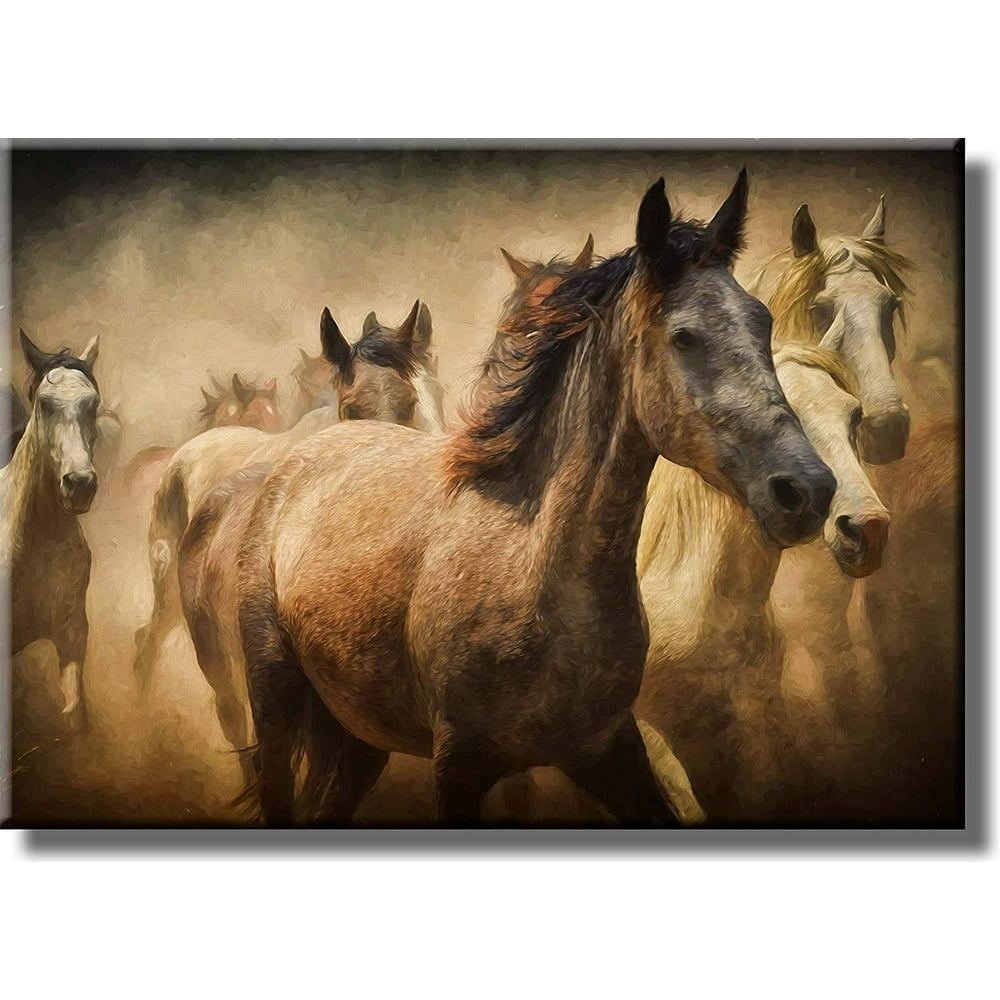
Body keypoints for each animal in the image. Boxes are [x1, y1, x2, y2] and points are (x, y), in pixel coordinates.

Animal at [233, 171, 836, 827]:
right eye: (684, 336)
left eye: (763, 322)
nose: (807, 490)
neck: (536, 568)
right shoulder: (460, 768)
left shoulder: (608, 751)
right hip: (275, 701)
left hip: (358, 736)